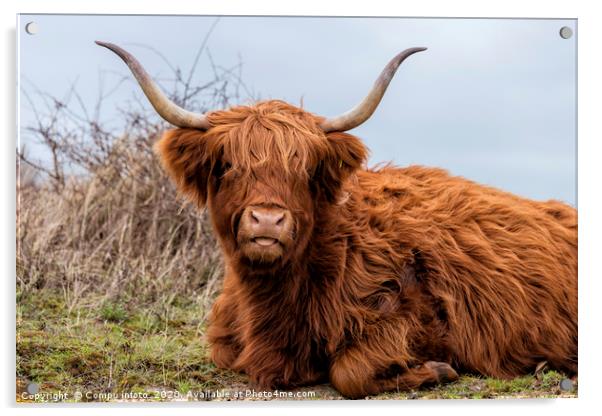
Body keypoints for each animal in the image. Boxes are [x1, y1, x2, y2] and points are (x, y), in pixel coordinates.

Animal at [97, 40, 576, 398]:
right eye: (227, 166)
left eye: (305, 169)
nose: (267, 221)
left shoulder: (411, 318)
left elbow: (350, 374)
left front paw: (438, 370)